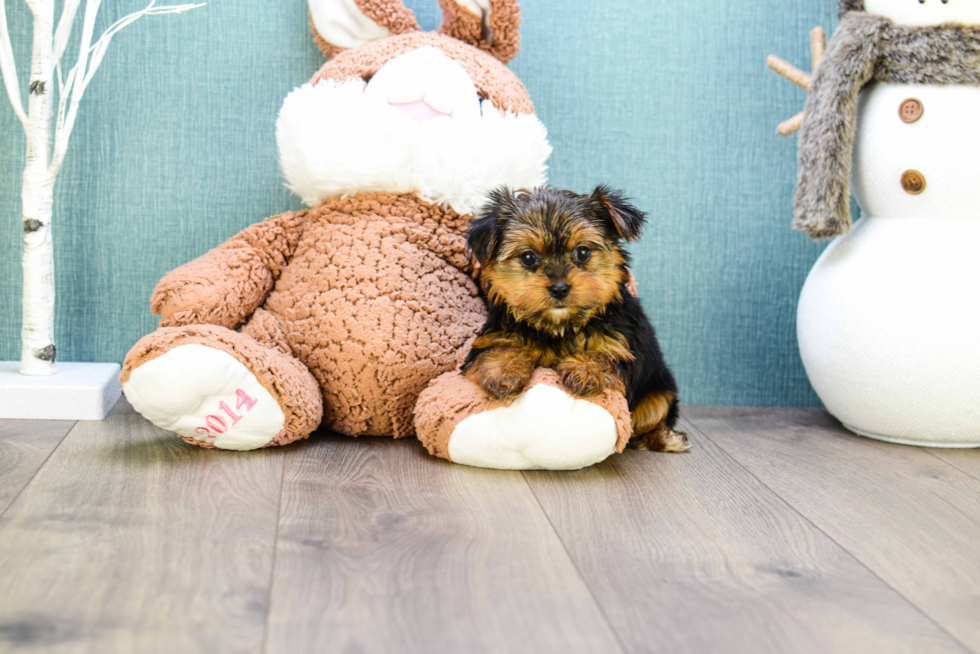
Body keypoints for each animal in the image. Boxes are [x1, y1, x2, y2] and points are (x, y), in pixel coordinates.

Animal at [462, 187, 684, 454]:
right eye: (528, 257)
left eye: (583, 252)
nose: (559, 288)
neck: (558, 327)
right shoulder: (495, 335)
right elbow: (498, 349)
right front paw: (503, 371)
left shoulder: (621, 345)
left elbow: (603, 355)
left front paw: (585, 370)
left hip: (660, 390)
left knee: (649, 417)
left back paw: (665, 438)